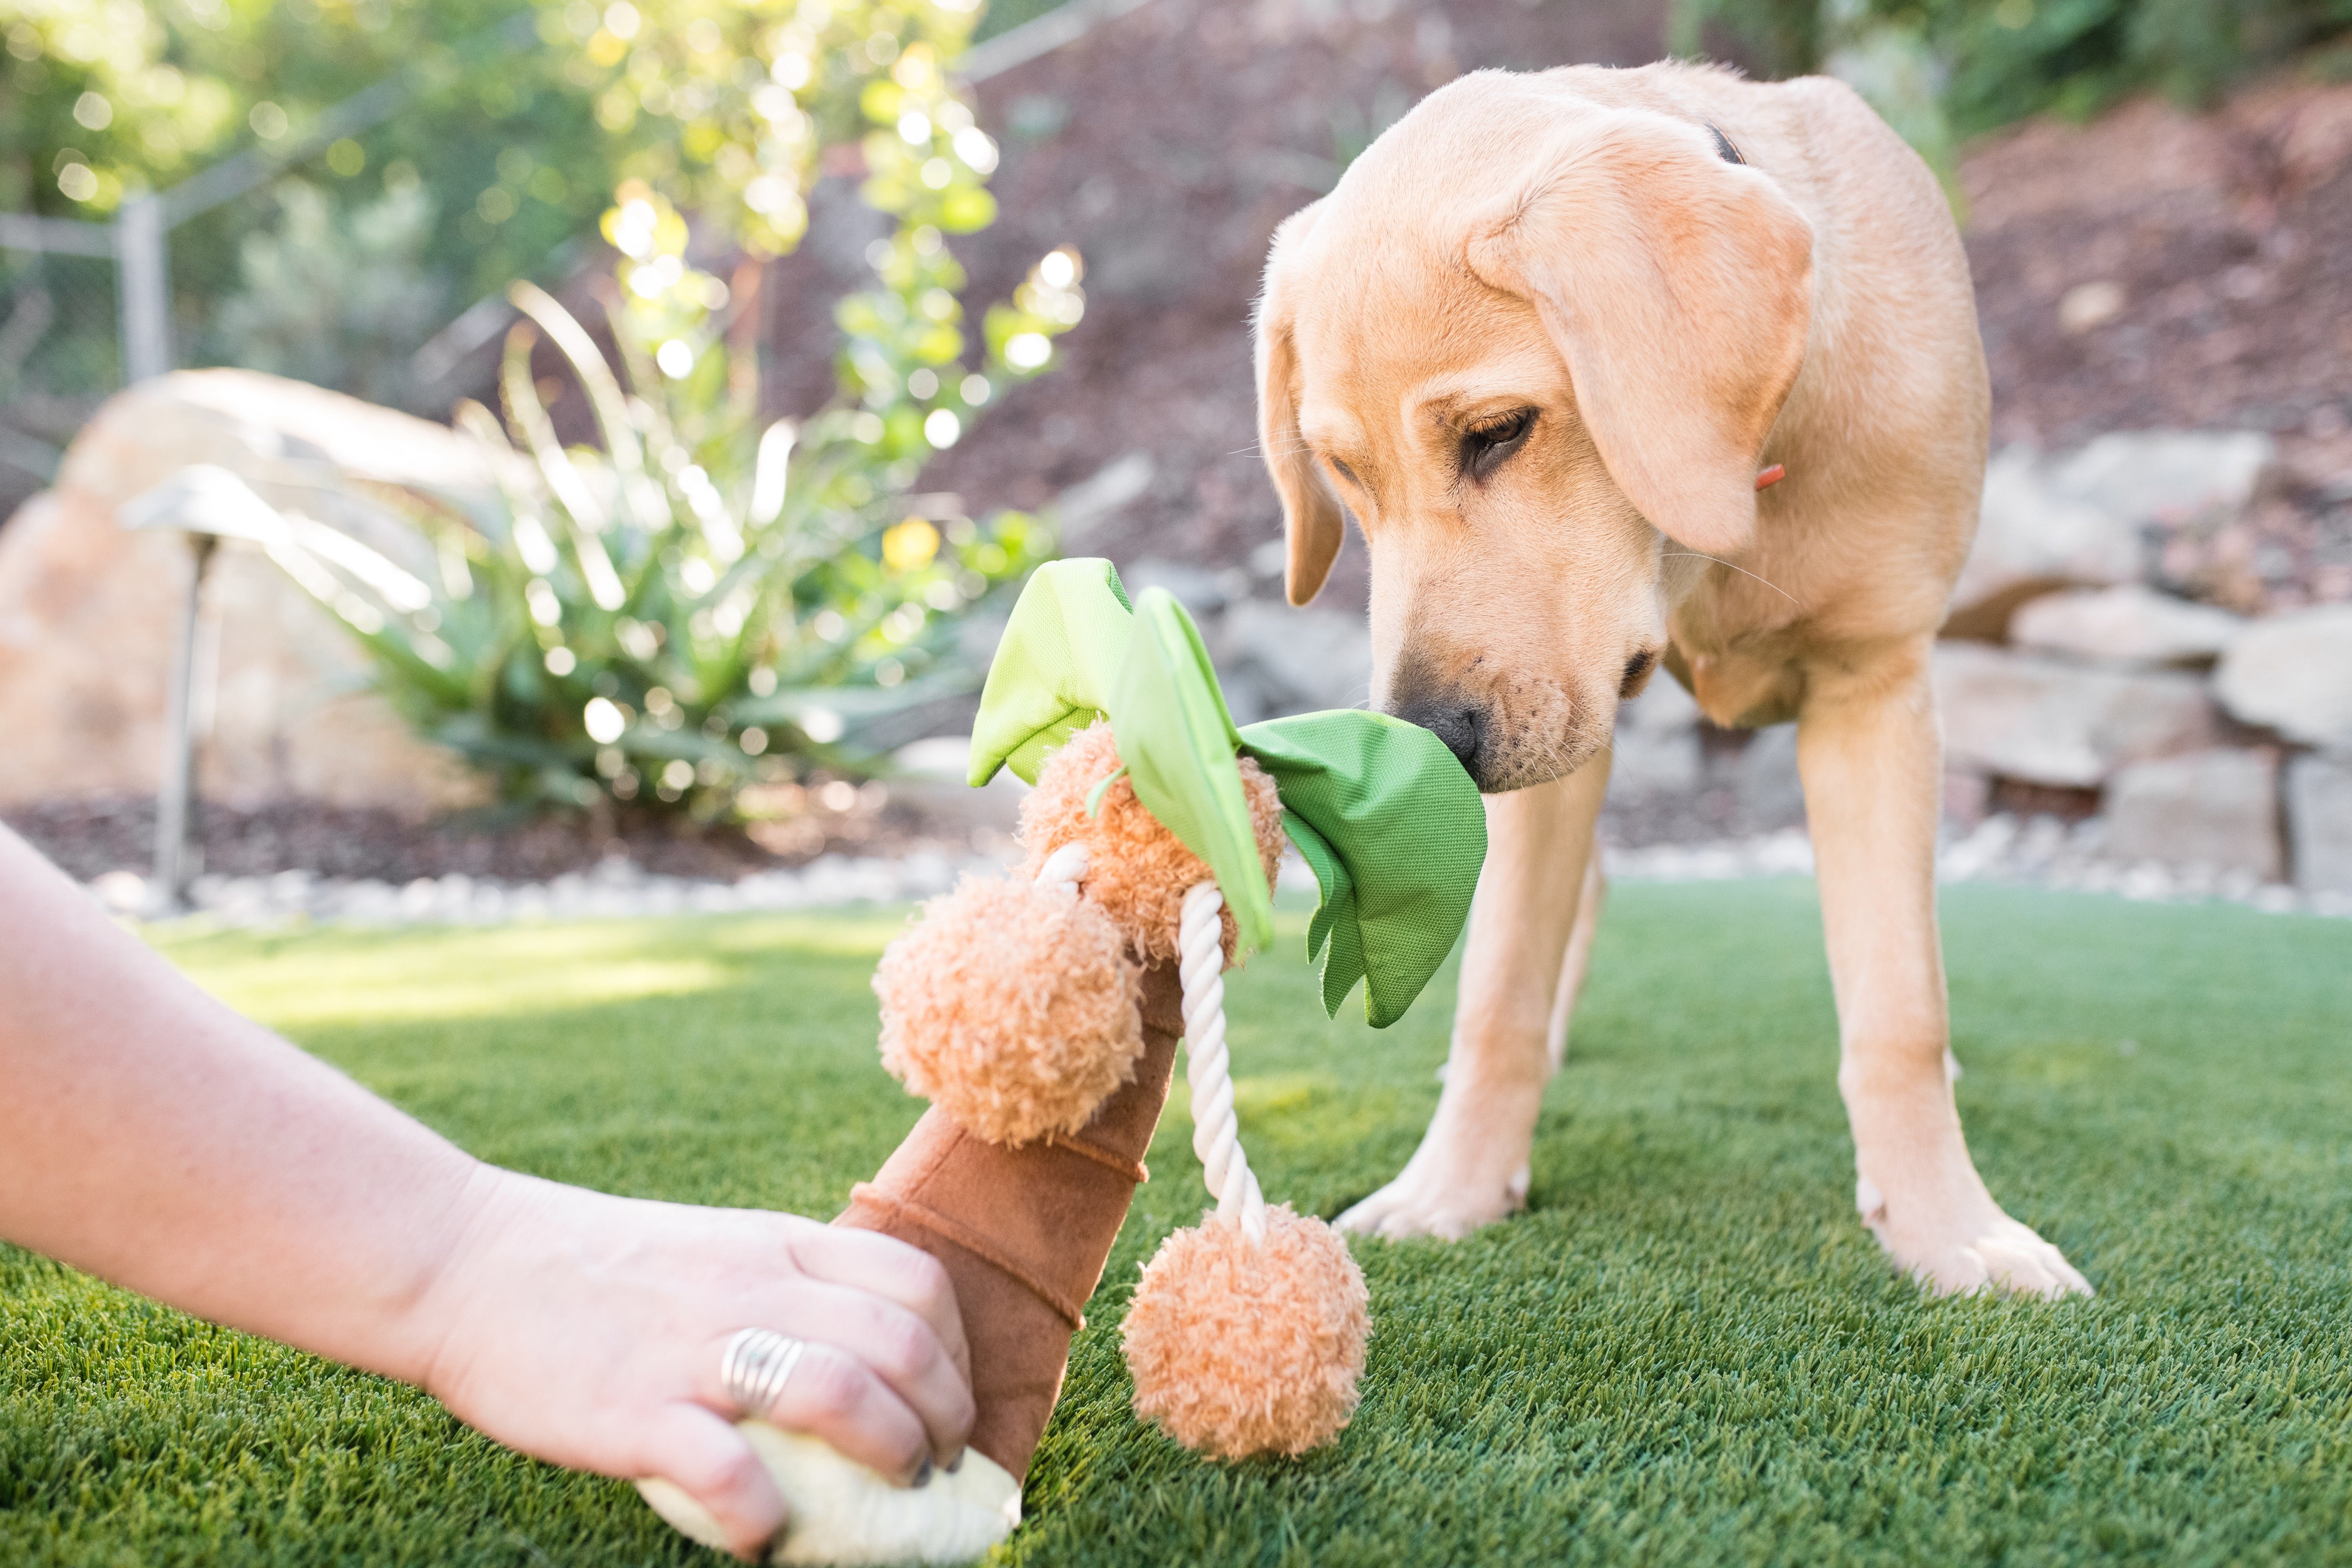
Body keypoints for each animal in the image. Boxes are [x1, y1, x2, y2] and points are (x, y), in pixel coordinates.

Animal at [1261, 61, 2089, 1297]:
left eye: (1498, 431)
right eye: (1344, 476)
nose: (1427, 742)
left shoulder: (1873, 691)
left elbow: (1899, 1012)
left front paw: (1949, 1229)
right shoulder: (1554, 732)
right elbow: (1497, 997)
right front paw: (1452, 1190)